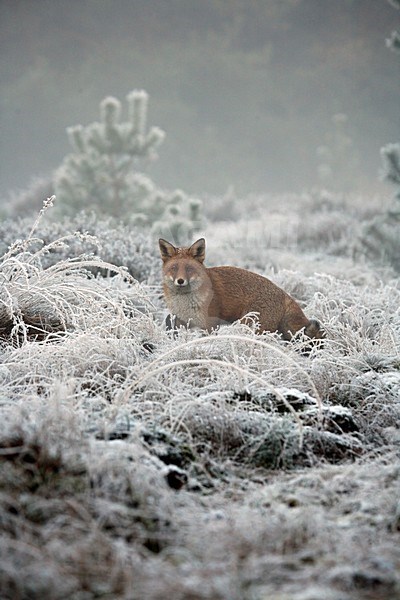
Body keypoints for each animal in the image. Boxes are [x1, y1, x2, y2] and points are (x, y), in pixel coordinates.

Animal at [158, 238, 324, 340]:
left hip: (249, 326)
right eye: (174, 268)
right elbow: (169, 322)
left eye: (189, 269)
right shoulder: (184, 318)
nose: (180, 281)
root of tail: (283, 293)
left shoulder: (210, 324)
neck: (185, 301)